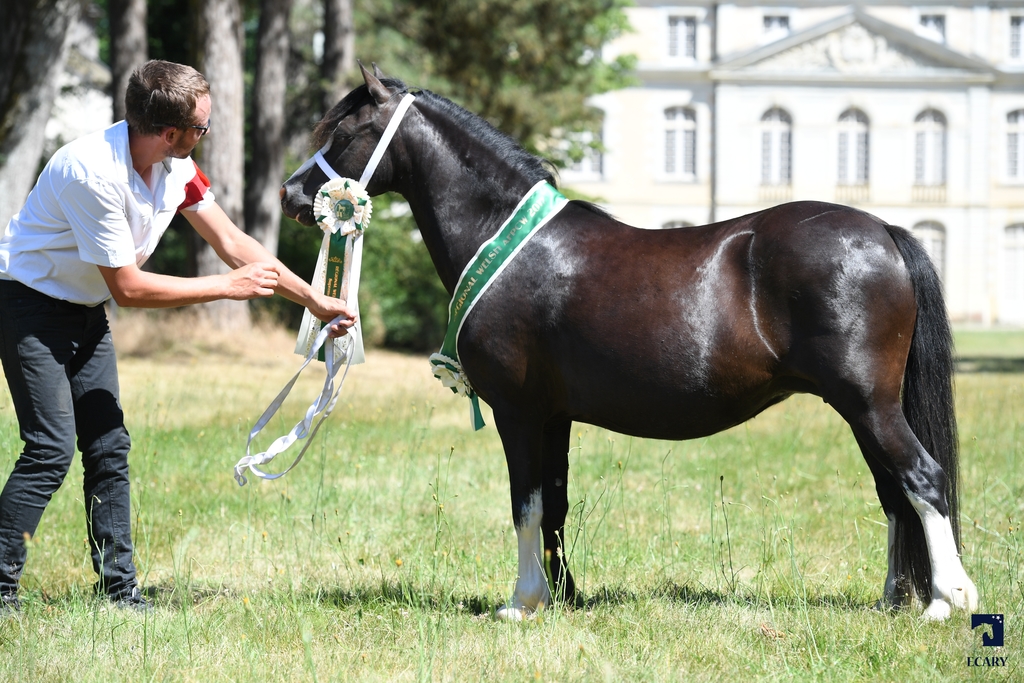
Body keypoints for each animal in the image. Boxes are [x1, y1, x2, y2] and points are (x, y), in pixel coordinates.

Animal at [278, 66, 974, 622]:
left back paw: (947, 602)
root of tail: (881, 229)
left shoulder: (518, 412)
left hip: (868, 404)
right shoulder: (554, 416)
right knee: (894, 496)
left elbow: (525, 504)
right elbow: (554, 506)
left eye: (344, 133)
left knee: (921, 480)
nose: (291, 194)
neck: (508, 240)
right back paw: (892, 601)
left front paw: (521, 604)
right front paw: (565, 599)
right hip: (863, 410)